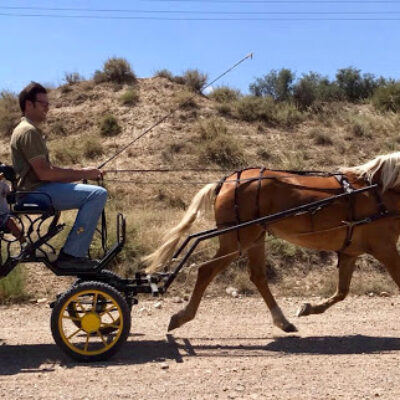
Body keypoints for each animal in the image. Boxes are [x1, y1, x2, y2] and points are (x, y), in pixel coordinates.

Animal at [144, 152, 400, 332]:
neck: (378, 191)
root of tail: (226, 181)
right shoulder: (385, 248)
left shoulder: (350, 252)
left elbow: (342, 292)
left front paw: (308, 308)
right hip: (237, 240)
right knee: (206, 270)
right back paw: (182, 316)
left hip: (254, 238)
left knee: (257, 276)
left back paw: (282, 321)